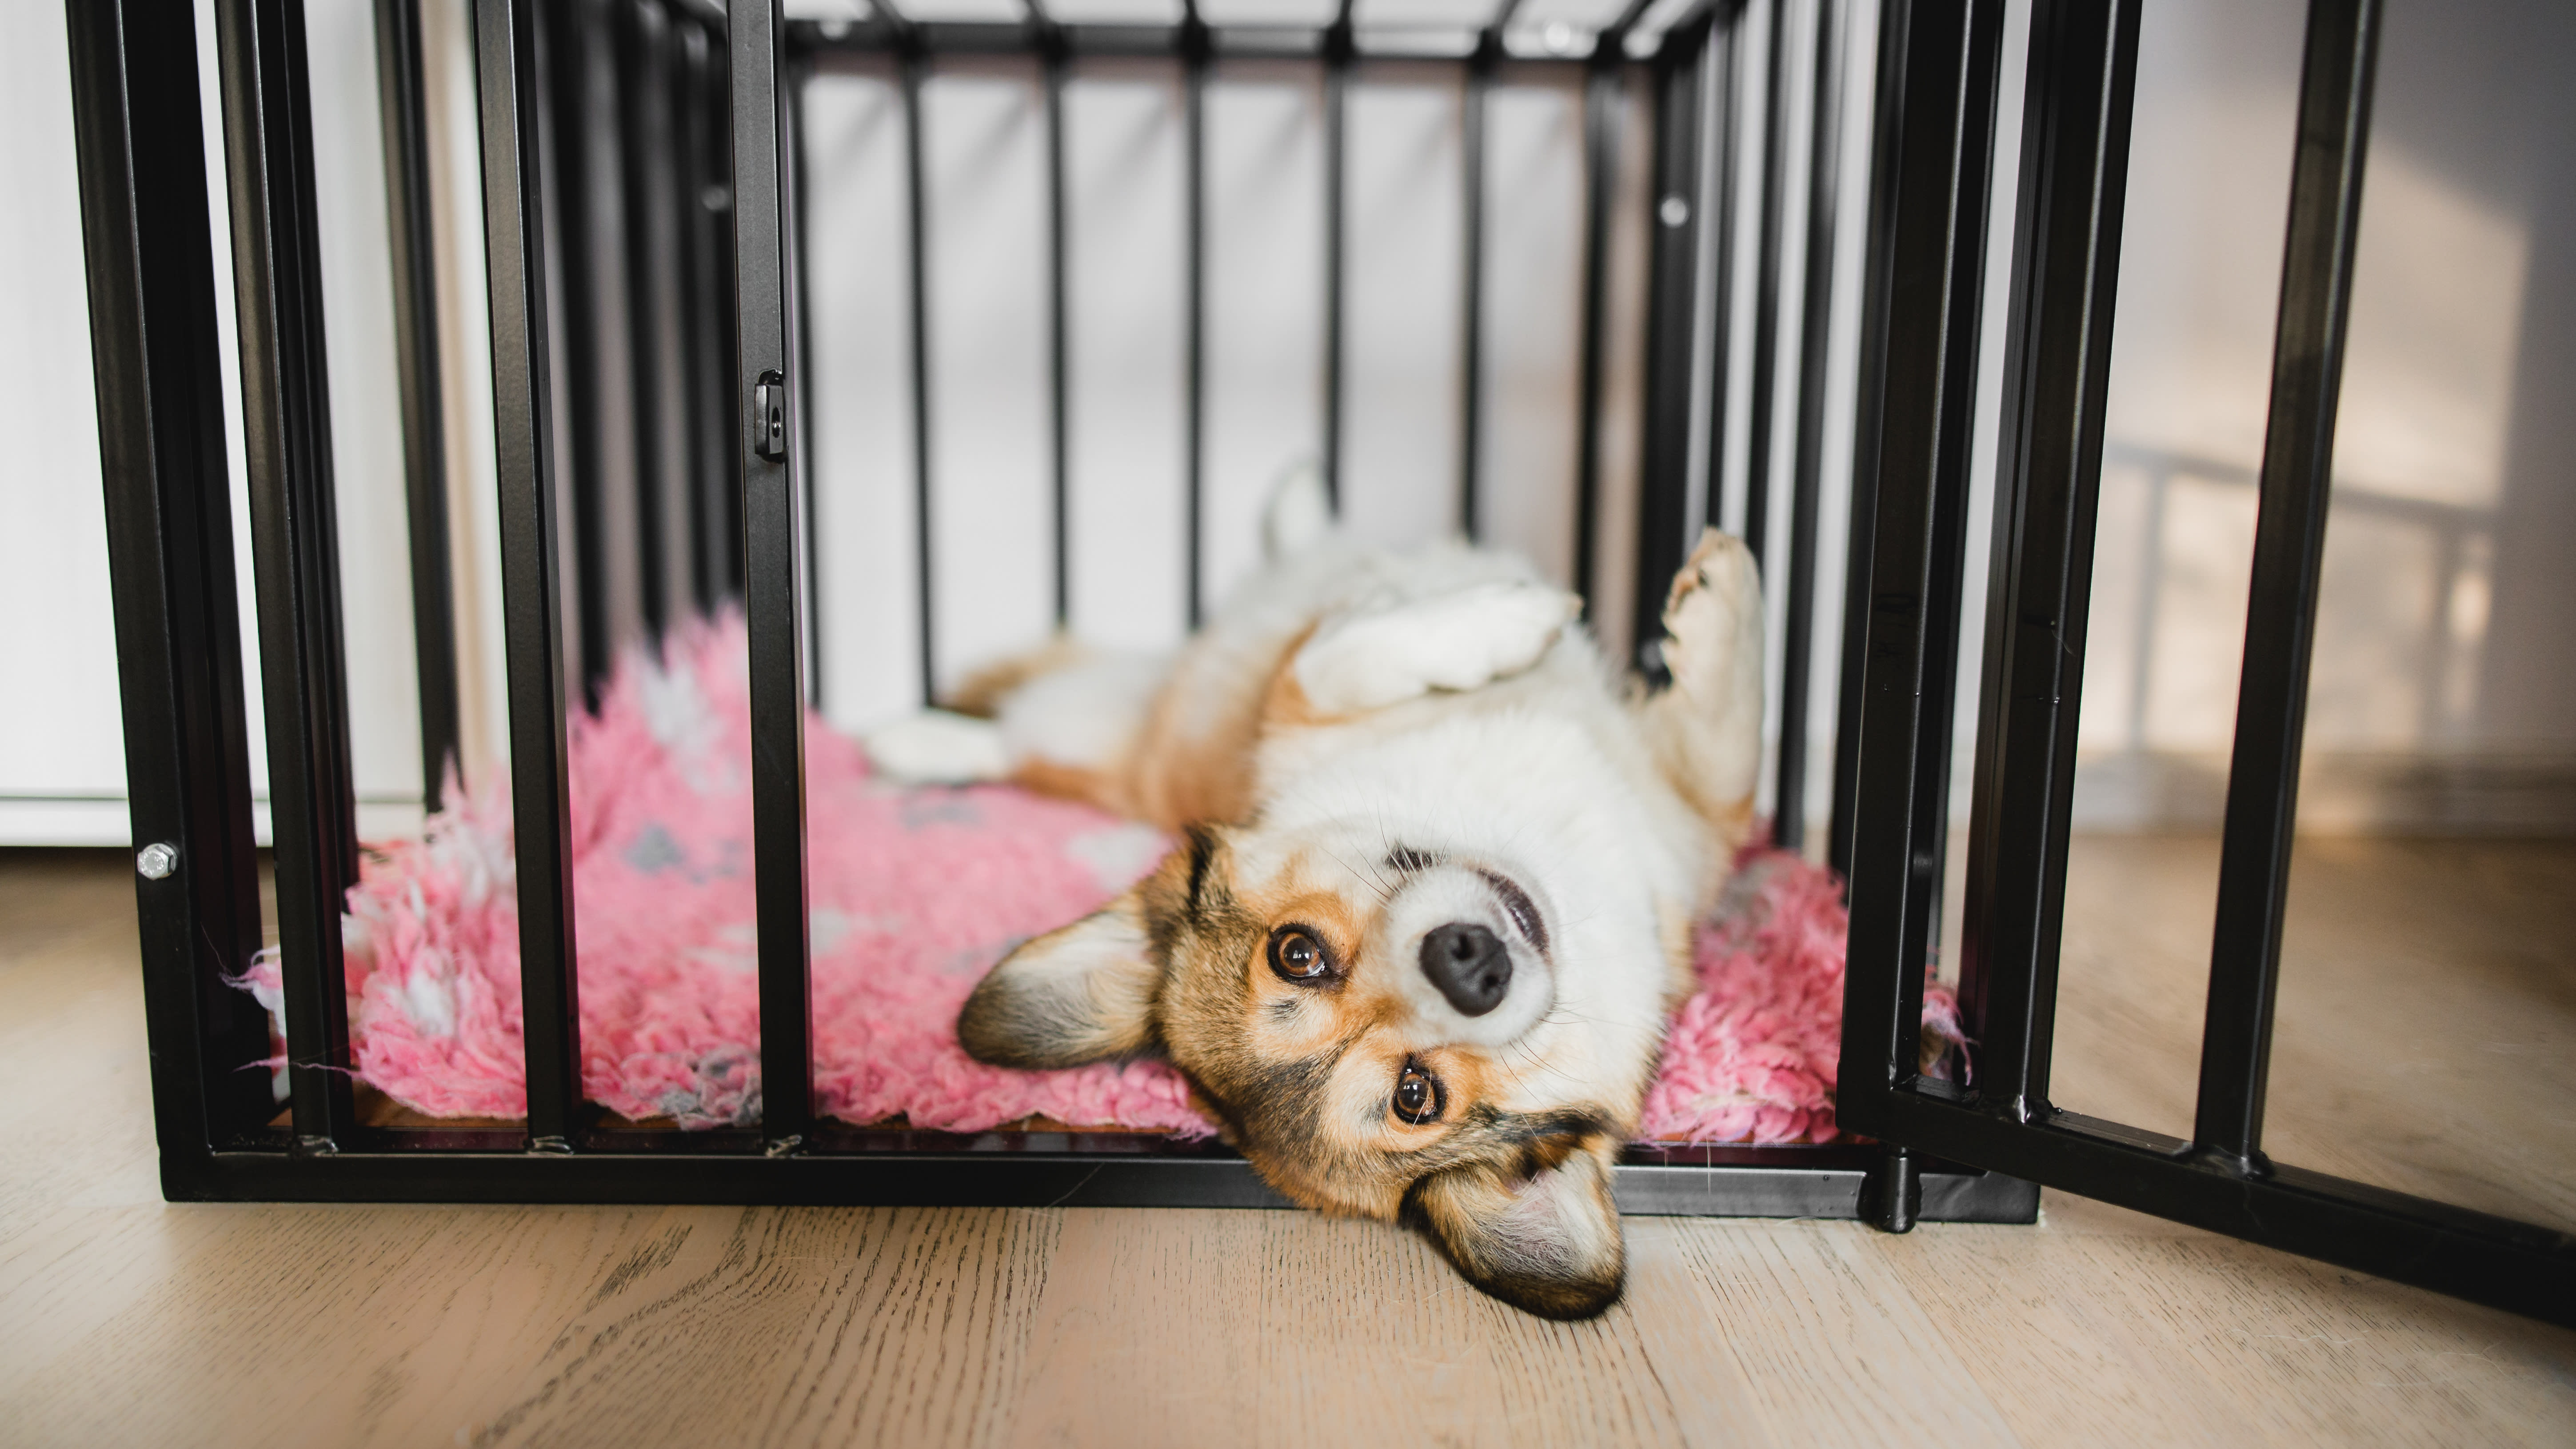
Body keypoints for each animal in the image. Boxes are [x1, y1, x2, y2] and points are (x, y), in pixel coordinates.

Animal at [875, 479, 1762, 1315]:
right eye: (1415, 1096)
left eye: (1294, 953)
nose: (1469, 969)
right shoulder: (1294, 702)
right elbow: (1338, 656)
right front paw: (1565, 616)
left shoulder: (1688, 822)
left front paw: (1692, 603)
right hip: (1096, 734)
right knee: (1017, 744)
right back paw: (912, 742)